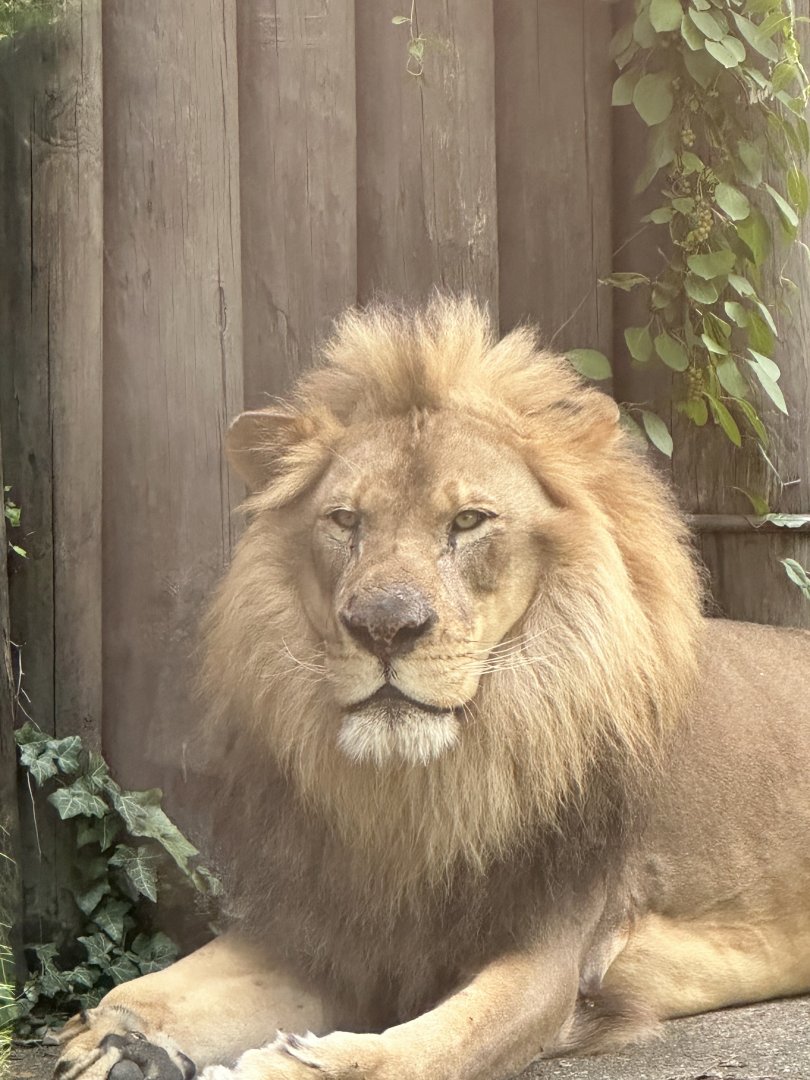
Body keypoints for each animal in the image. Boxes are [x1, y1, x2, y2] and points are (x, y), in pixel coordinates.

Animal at [57, 297, 810, 1080]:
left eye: (469, 521)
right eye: (345, 520)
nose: (384, 627)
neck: (417, 797)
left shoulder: (550, 958)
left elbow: (422, 1050)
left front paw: (290, 1064)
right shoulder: (335, 925)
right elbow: (158, 984)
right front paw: (117, 1038)